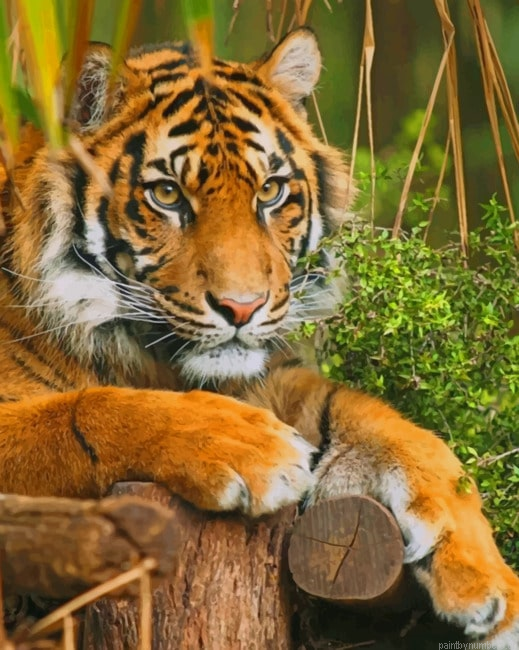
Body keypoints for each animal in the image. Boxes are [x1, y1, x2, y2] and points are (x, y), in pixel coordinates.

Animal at [0, 27, 517, 647]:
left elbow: (393, 427)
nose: (242, 307)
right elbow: (85, 412)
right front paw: (252, 450)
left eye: (270, 191)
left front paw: (491, 584)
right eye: (167, 195)